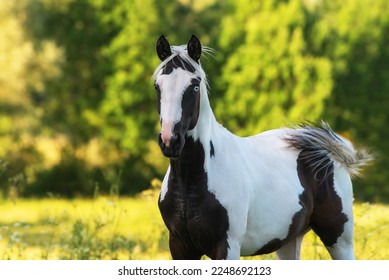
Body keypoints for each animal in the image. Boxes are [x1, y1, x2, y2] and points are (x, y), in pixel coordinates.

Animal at [152, 35, 370, 260]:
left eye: (194, 86)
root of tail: (323, 149)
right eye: (157, 86)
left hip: (339, 239)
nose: (170, 141)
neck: (192, 180)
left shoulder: (227, 247)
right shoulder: (180, 247)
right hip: (288, 242)